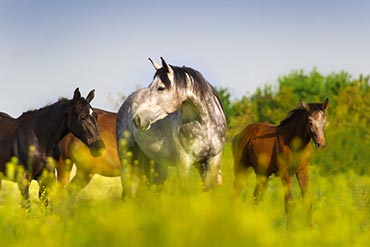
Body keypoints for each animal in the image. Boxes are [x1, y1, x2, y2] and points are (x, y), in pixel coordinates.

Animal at [116, 57, 225, 197]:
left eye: (161, 88)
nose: (137, 119)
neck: (205, 127)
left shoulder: (213, 161)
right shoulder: (184, 164)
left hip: (155, 163)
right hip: (127, 159)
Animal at [233, 98, 328, 228]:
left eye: (324, 120)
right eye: (310, 122)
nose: (321, 144)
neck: (294, 143)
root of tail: (238, 135)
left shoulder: (303, 171)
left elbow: (307, 200)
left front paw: (310, 228)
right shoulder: (286, 174)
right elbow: (289, 203)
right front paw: (290, 230)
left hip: (262, 174)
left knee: (256, 198)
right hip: (242, 169)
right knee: (236, 193)